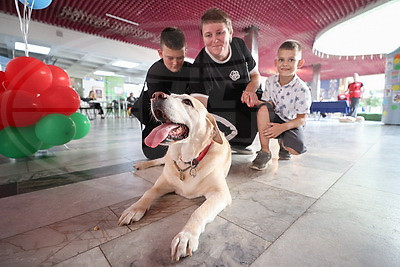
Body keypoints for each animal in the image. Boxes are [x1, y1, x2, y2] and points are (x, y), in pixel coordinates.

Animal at [118, 92, 231, 262]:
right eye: (171, 95)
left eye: (187, 102)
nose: (156, 95)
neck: (187, 161)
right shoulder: (162, 184)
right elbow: (148, 193)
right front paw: (134, 209)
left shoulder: (221, 194)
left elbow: (199, 211)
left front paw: (186, 236)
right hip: (164, 158)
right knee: (159, 160)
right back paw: (141, 165)